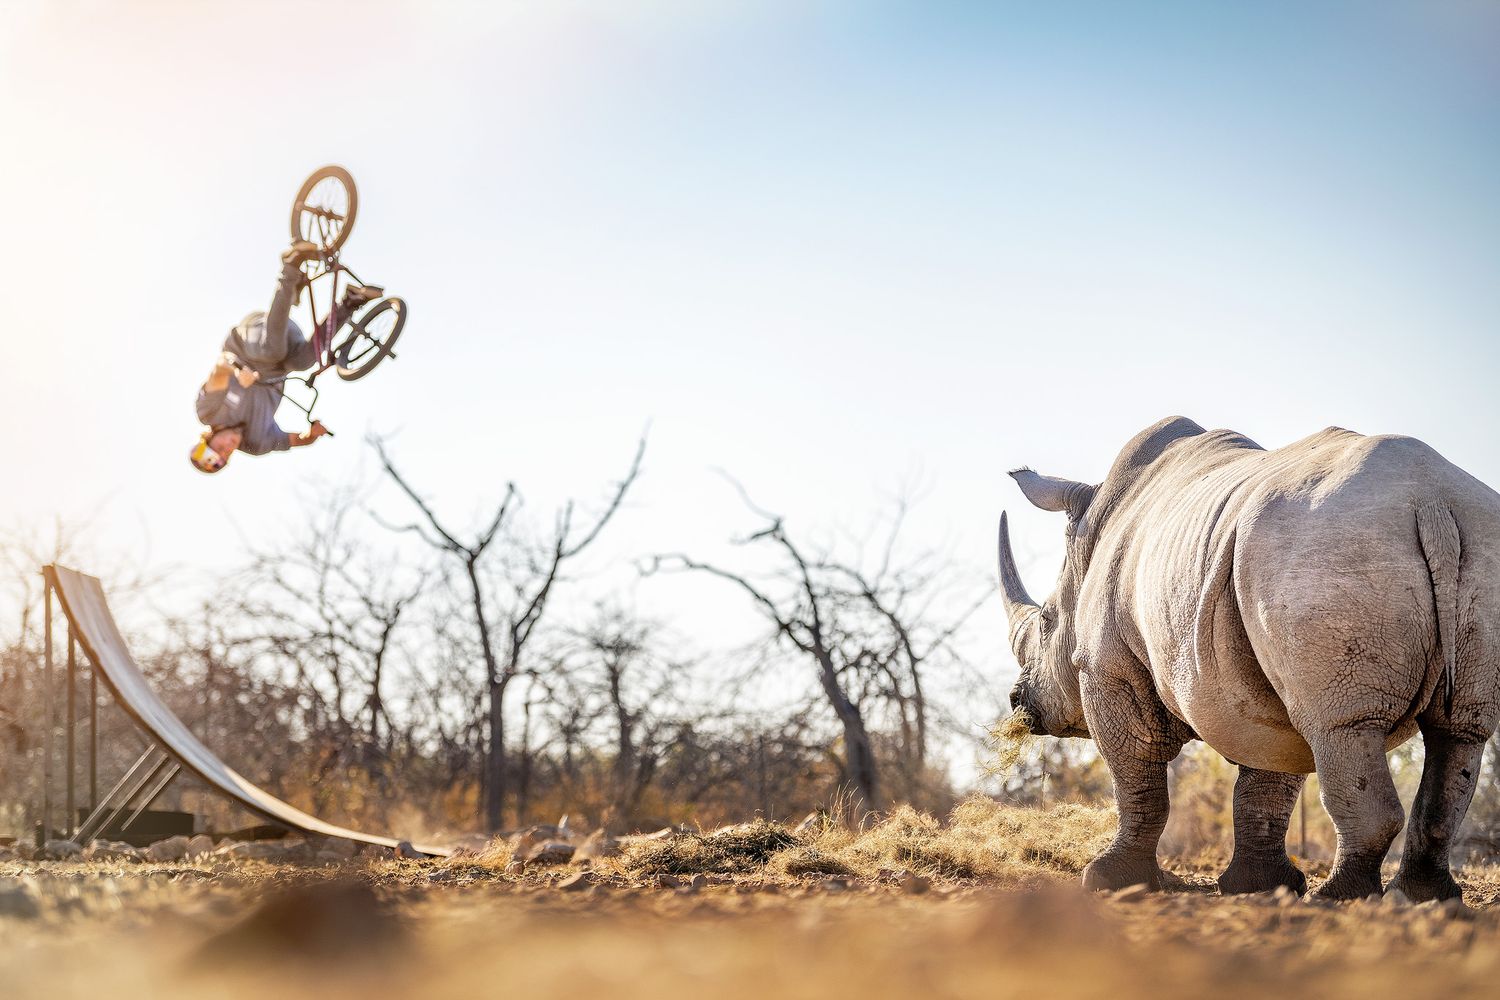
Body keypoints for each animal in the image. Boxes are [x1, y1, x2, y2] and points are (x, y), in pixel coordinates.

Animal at [999, 416, 1500, 901]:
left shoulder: (1107, 666)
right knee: (1460, 733)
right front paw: (1260, 887)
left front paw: (1107, 881)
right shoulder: (1256, 674)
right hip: (1471, 547)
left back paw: (1341, 898)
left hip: (1331, 551)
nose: (1017, 702)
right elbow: (1268, 780)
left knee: (1340, 727)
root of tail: (1432, 504)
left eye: (1045, 622)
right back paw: (1424, 897)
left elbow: (1137, 778)